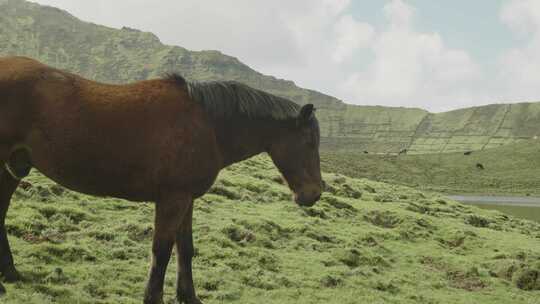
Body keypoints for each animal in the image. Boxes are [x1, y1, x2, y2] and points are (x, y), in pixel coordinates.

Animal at [0, 57, 320, 304]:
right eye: (308, 141)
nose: (313, 194)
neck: (209, 125)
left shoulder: (186, 199)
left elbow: (185, 249)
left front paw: (189, 296)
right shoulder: (172, 199)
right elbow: (162, 250)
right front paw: (153, 297)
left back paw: (10, 273)